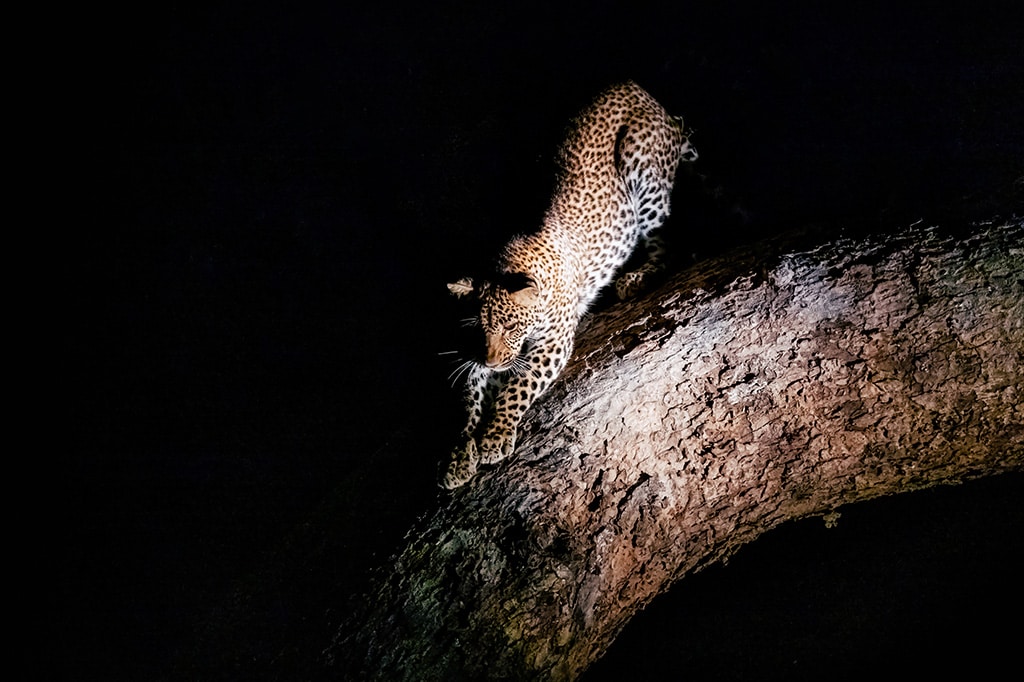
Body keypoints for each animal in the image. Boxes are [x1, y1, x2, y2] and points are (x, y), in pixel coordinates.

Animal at [442, 81, 698, 489]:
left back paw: (635, 278)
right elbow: (467, 403)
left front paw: (495, 437)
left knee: (668, 242)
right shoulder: (479, 355)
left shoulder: (552, 343)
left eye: (511, 326)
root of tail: (635, 88)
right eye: (480, 329)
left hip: (641, 165)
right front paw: (458, 458)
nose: (493, 361)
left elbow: (516, 388)